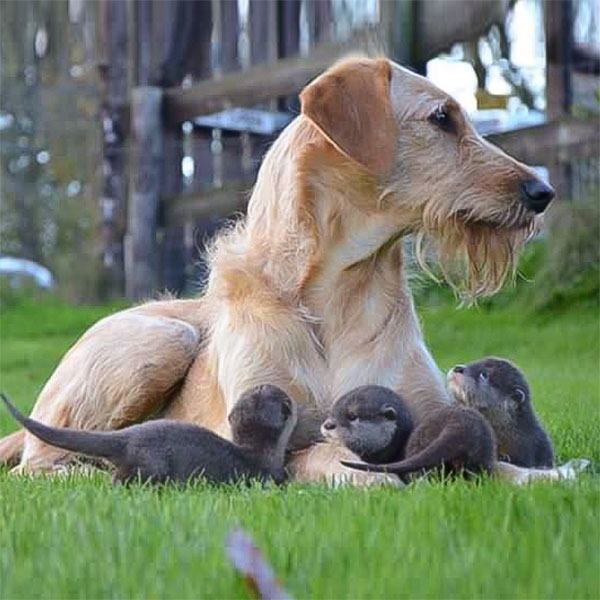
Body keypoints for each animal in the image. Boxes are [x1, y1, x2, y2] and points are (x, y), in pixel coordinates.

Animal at [0, 58, 556, 482]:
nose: (542, 192)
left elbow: (492, 457)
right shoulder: (269, 434)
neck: (336, 291)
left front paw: (544, 476)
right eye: (442, 117)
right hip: (160, 339)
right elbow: (327, 453)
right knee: (38, 463)